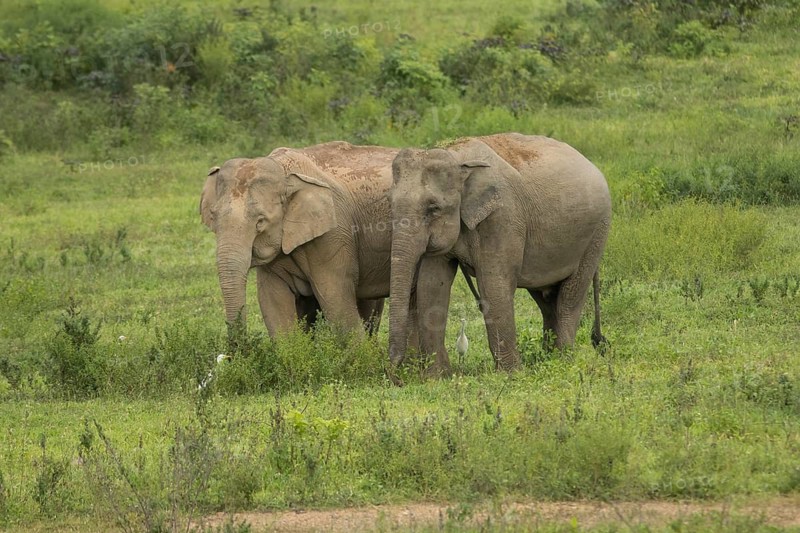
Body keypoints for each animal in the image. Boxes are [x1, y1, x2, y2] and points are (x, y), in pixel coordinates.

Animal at [200, 141, 410, 340]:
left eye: (260, 222)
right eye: (213, 216)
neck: (283, 170)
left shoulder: (332, 236)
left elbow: (336, 301)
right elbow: (273, 303)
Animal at [388, 133, 611, 375]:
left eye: (433, 208)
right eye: (391, 204)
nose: (396, 372)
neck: (458, 157)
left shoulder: (502, 218)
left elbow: (493, 285)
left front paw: (511, 375)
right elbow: (431, 284)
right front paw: (437, 377)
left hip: (596, 234)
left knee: (569, 298)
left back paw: (562, 362)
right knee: (547, 300)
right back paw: (548, 358)